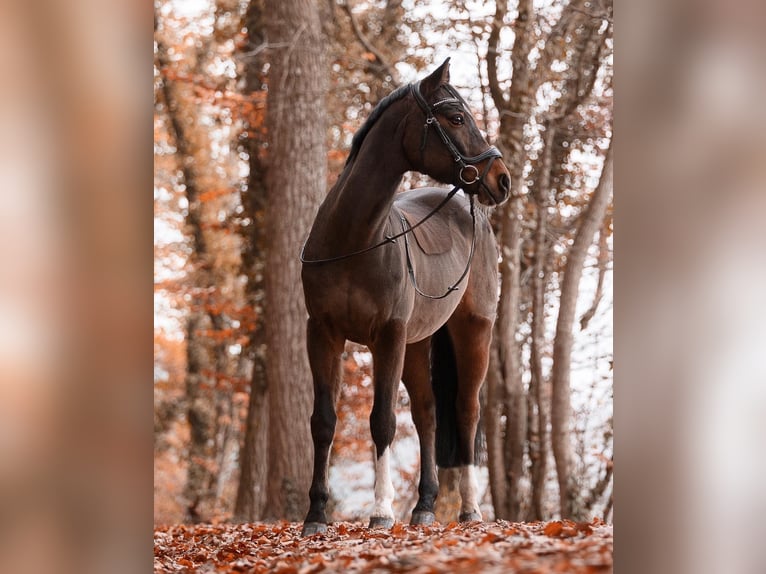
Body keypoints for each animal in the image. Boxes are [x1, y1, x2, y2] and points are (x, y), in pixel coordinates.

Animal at [300, 58, 510, 536]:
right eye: (456, 117)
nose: (502, 179)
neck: (354, 239)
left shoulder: (388, 336)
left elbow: (382, 421)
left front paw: (380, 512)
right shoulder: (322, 334)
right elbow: (323, 421)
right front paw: (316, 515)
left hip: (474, 332)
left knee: (465, 411)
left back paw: (469, 510)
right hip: (418, 342)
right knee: (428, 415)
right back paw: (425, 506)